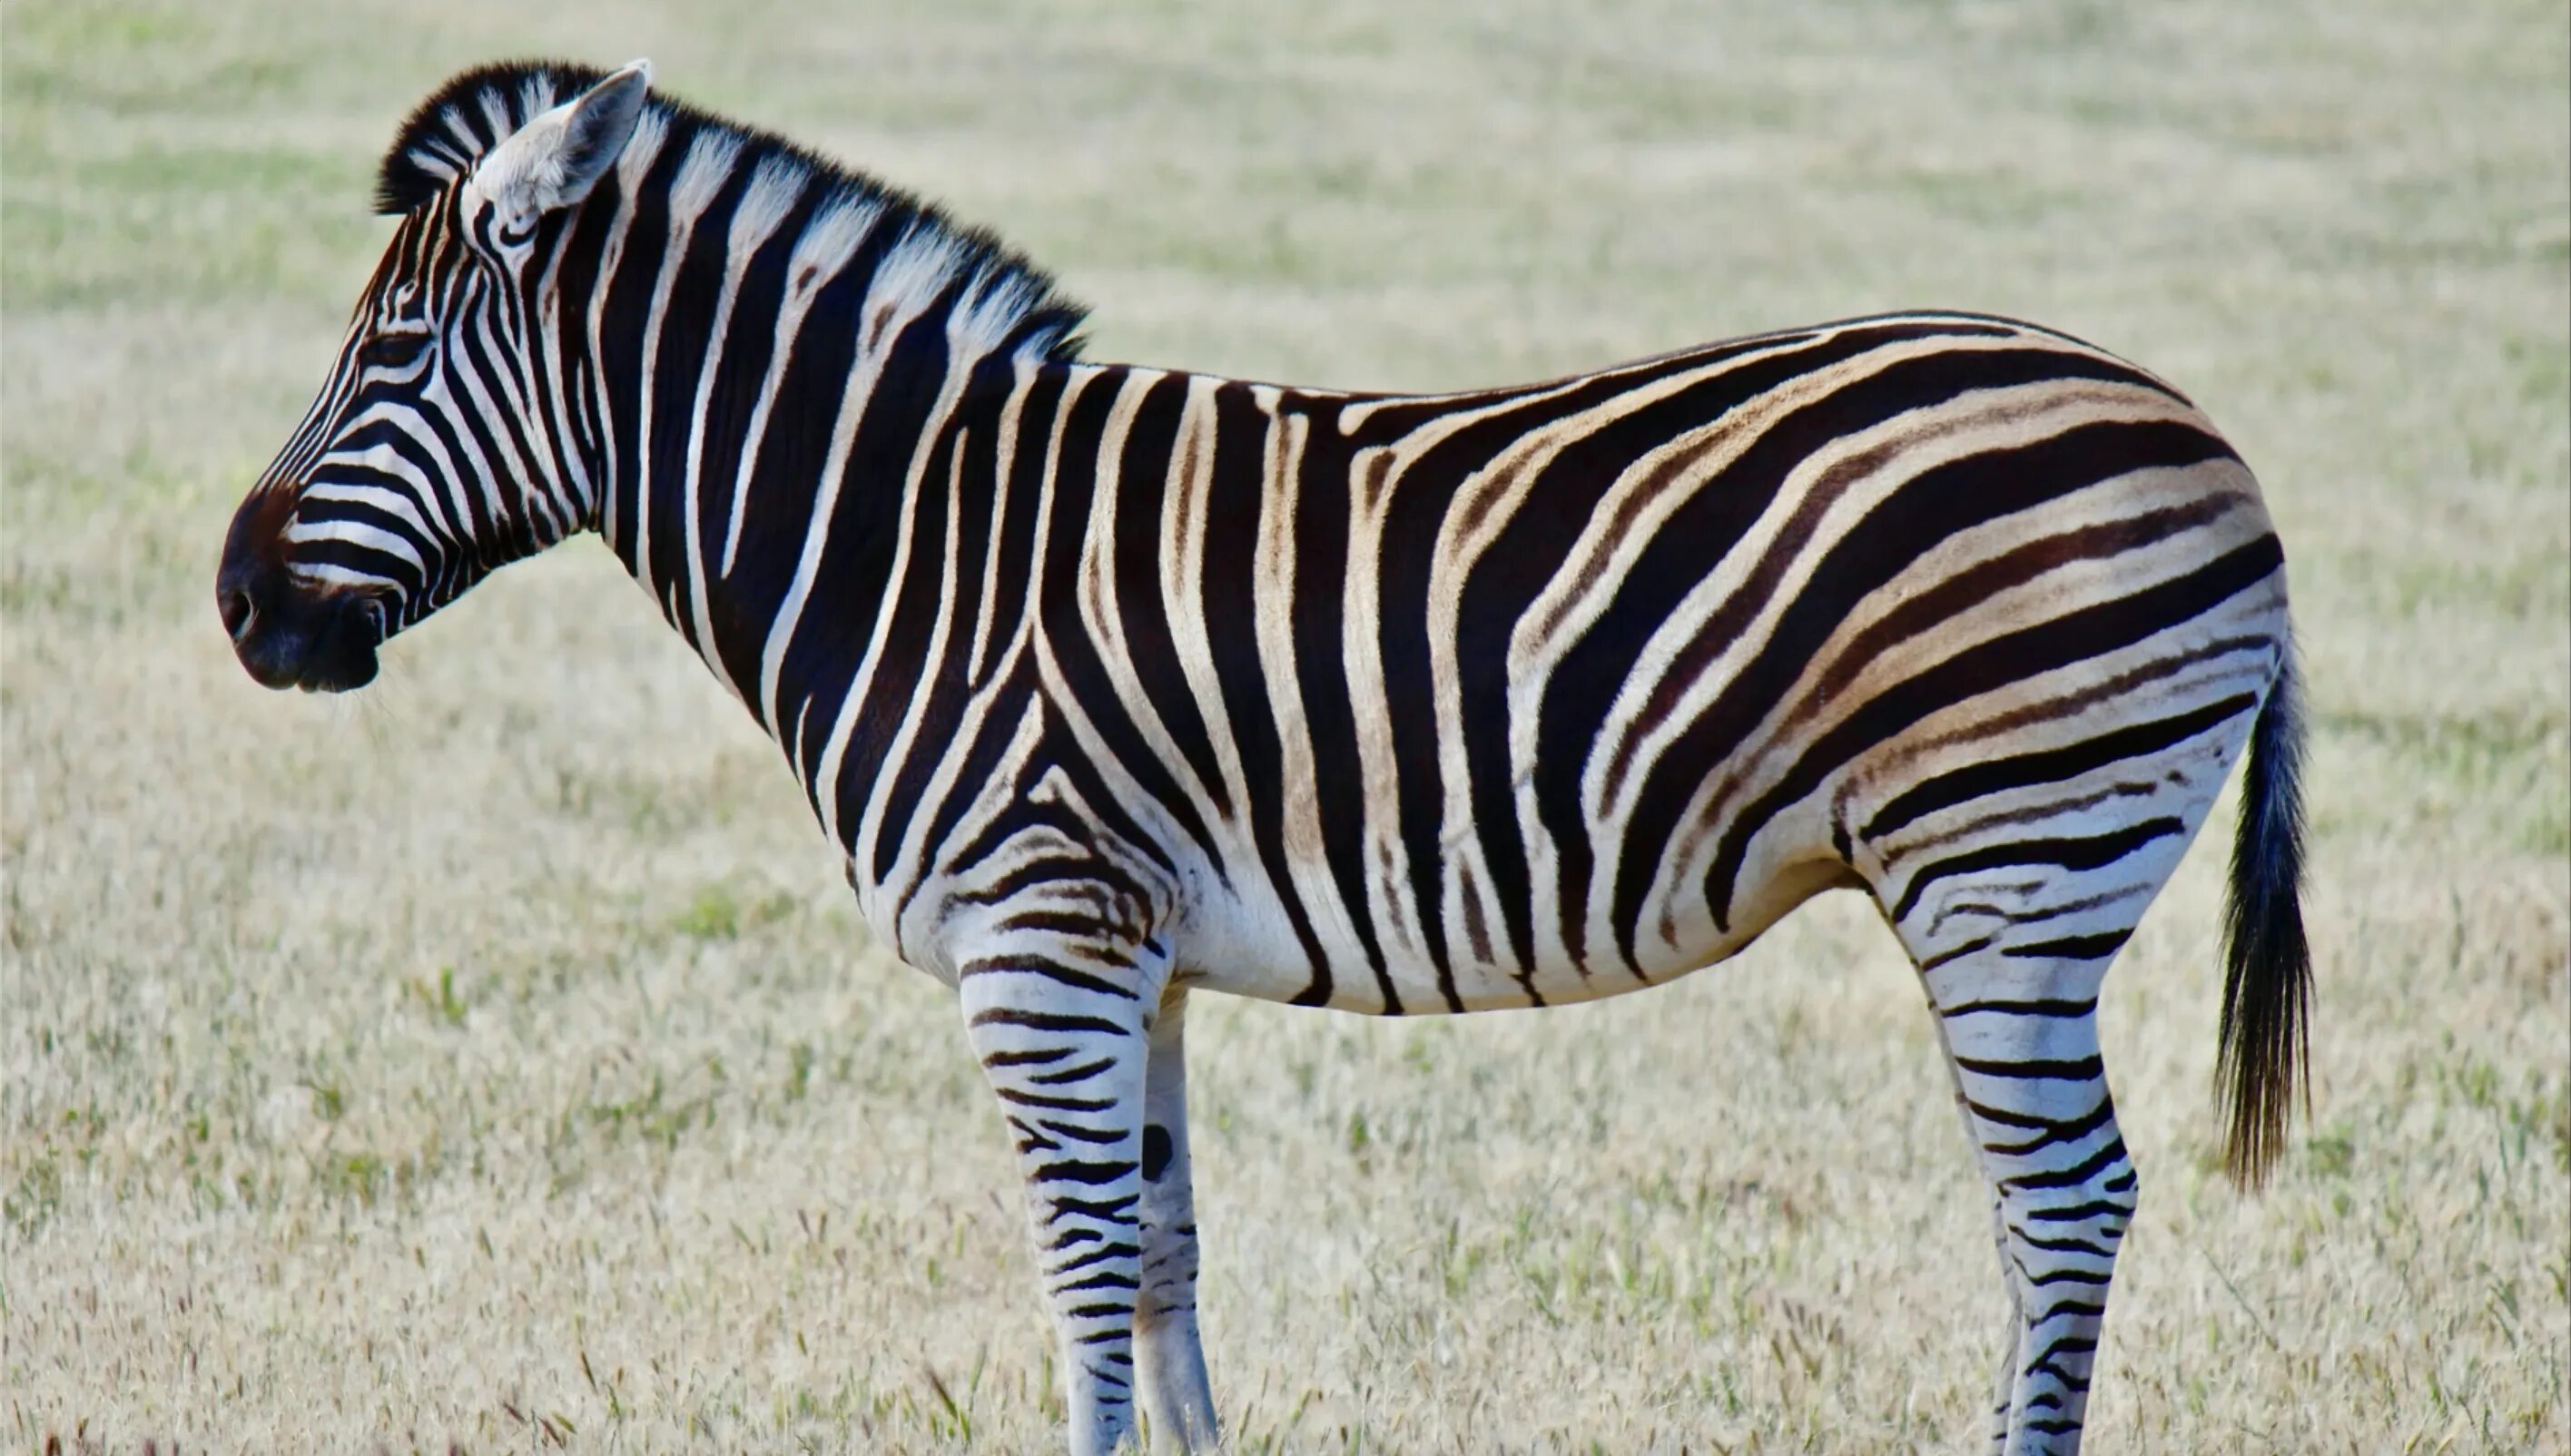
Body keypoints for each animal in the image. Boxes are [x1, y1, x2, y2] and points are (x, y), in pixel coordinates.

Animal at [215, 59, 2312, 1456]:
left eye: (388, 347)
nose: (240, 607)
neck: (910, 538)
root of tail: (2209, 436)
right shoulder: (1122, 954)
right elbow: (1162, 1253)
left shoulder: (1034, 946)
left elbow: (1081, 1273)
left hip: (2006, 866)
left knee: (2066, 1204)